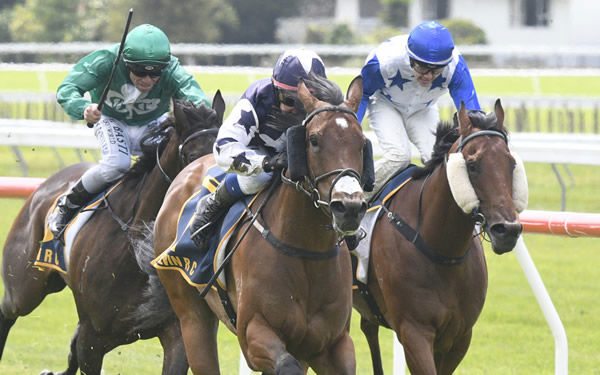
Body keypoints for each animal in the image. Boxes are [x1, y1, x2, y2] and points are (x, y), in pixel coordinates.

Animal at [0, 94, 225, 375]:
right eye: (193, 156)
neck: (138, 250)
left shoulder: (179, 330)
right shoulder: (92, 339)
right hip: (25, 286)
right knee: (7, 311)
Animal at [152, 76, 370, 375]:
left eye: (361, 142)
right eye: (313, 140)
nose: (349, 207)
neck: (306, 250)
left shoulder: (332, 343)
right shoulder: (254, 333)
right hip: (190, 312)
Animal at [354, 100, 528, 375]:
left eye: (511, 163)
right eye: (472, 164)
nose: (508, 230)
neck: (443, 251)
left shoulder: (459, 336)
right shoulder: (414, 331)